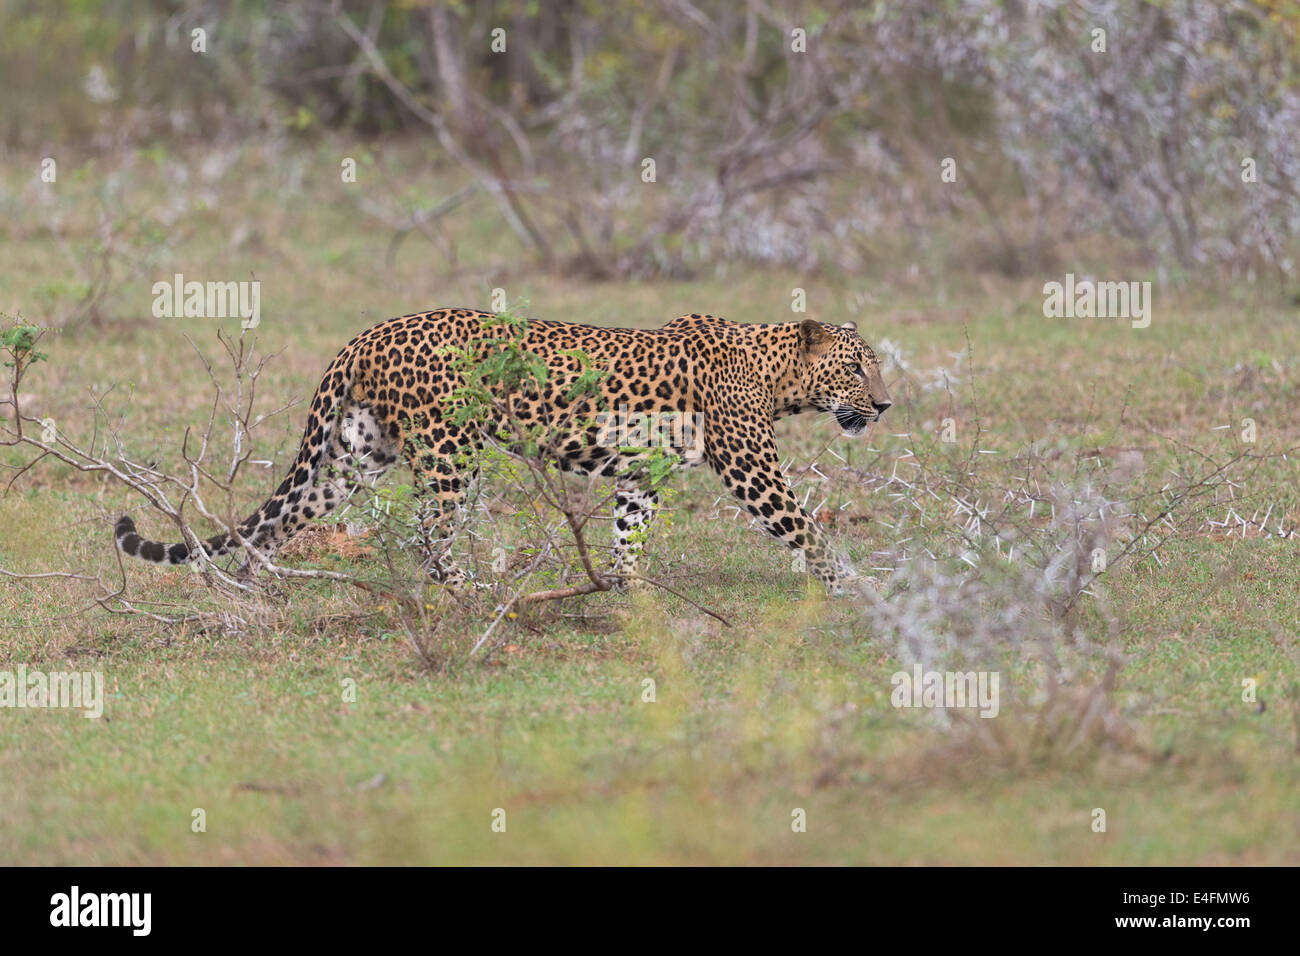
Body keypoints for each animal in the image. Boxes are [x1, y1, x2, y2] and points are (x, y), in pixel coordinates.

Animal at [114, 310, 894, 590]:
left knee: (286, 513)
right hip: (450, 449)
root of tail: (367, 334)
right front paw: (858, 587)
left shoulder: (643, 473)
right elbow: (805, 528)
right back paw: (466, 590)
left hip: (357, 453)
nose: (886, 405)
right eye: (858, 368)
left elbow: (629, 531)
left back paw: (252, 587)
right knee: (430, 530)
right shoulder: (752, 467)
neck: (777, 373)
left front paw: (627, 590)